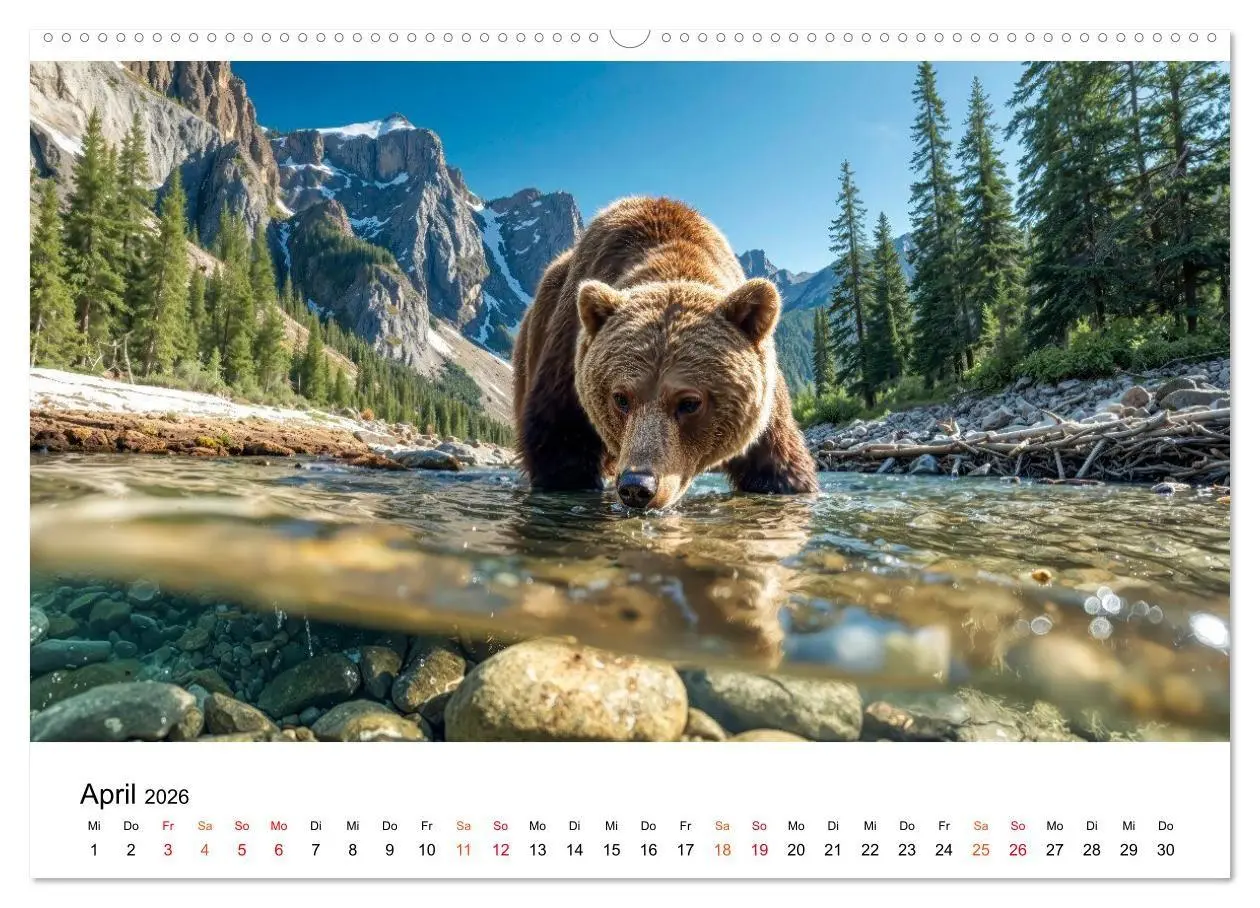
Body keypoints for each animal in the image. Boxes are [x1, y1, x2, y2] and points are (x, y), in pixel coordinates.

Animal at [513, 196, 819, 511]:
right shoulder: (566, 366)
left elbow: (778, 463)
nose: (637, 486)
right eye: (620, 398)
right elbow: (560, 447)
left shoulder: (764, 404)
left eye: (690, 402)